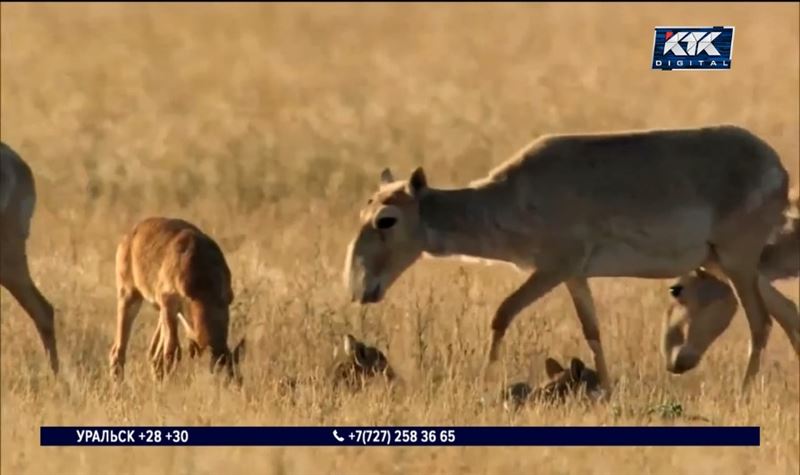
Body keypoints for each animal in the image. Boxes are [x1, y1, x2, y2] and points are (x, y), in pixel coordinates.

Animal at [108, 218, 244, 384]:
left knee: (153, 354)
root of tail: (131, 235)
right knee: (118, 350)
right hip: (129, 296)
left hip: (160, 311)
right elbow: (172, 351)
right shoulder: (169, 303)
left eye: (235, 373)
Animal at [344, 123, 800, 394]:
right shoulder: (575, 275)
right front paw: (607, 391)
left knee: (761, 322)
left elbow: (502, 313)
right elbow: (592, 329)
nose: (359, 288)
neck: (509, 197)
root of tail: (779, 169)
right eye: (361, 214)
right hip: (730, 262)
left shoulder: (552, 268)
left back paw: (744, 394)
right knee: (787, 313)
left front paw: (486, 380)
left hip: (738, 259)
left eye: (386, 219)